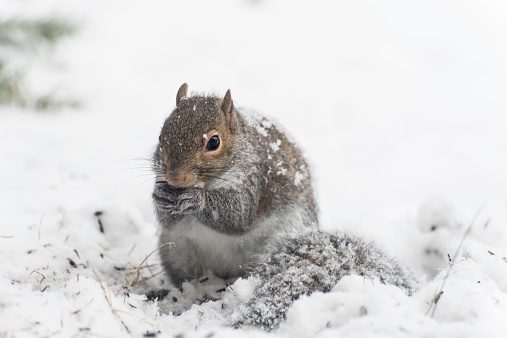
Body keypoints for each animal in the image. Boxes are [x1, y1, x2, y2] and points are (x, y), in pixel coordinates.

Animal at [152, 84, 416, 330]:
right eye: (161, 137)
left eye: (214, 142)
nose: (175, 178)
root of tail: (226, 275)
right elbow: (166, 217)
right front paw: (160, 197)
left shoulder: (254, 179)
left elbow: (239, 216)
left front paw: (195, 199)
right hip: (176, 251)